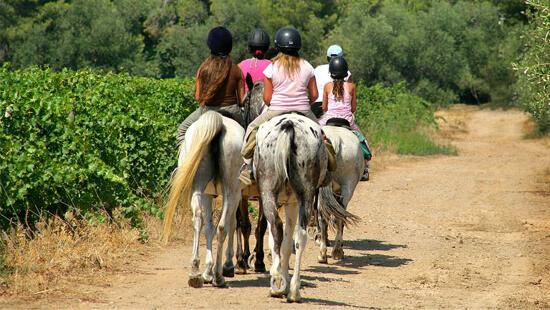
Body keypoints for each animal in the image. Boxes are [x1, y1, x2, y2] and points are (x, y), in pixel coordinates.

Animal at [162, 111, 244, 288]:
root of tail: (219, 120)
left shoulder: (208, 194)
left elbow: (208, 228)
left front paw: (207, 272)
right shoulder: (237, 194)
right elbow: (232, 224)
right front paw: (226, 266)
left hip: (199, 186)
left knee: (198, 218)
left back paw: (195, 273)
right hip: (231, 190)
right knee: (223, 226)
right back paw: (218, 276)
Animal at [256, 112, 358, 302]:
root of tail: (289, 125)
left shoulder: (290, 202)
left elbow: (283, 241)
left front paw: (281, 279)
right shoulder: (293, 202)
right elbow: (287, 241)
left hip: (271, 191)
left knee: (279, 229)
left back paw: (282, 285)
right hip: (306, 193)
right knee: (303, 233)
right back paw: (292, 288)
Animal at [314, 122, 366, 262]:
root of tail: (335, 139)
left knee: (324, 216)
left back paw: (324, 253)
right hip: (347, 186)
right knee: (337, 216)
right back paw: (336, 251)